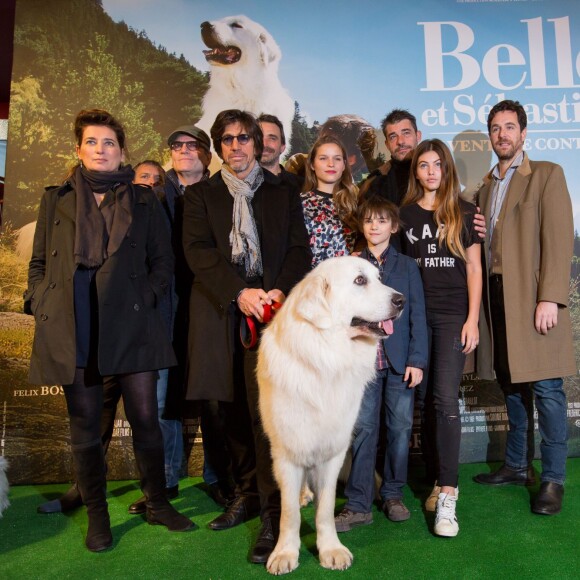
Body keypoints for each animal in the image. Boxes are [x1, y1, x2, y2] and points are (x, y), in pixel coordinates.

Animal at [258, 256, 404, 572]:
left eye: (378, 278)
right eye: (359, 281)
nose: (402, 300)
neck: (325, 359)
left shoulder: (333, 450)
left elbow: (325, 510)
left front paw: (330, 549)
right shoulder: (287, 452)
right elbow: (289, 512)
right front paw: (285, 552)